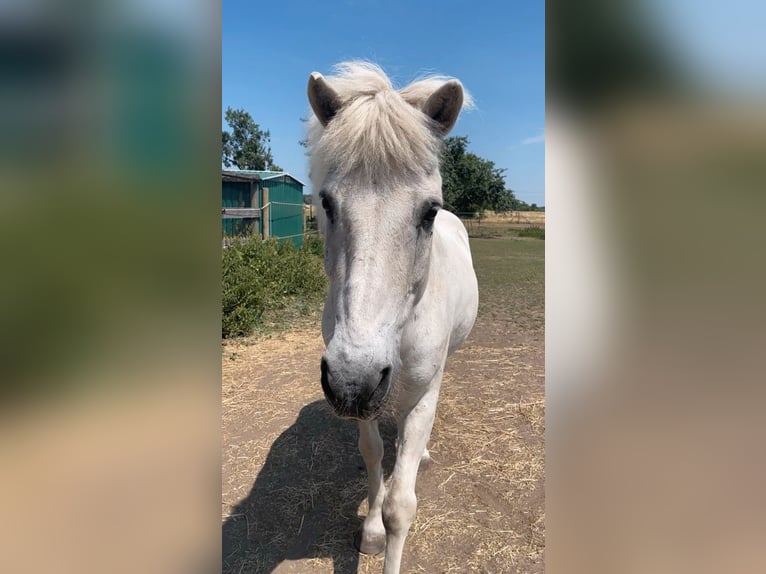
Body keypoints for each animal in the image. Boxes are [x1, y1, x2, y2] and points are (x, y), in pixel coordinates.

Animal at [306, 63, 480, 574]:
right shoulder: (363, 400)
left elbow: (401, 506)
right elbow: (372, 454)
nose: (353, 379)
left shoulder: (420, 391)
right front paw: (370, 532)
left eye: (429, 211)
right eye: (326, 203)